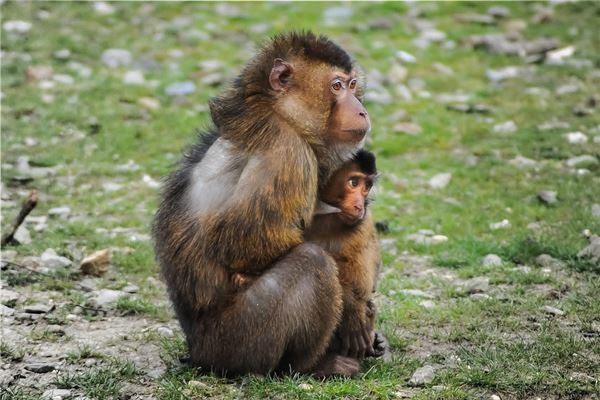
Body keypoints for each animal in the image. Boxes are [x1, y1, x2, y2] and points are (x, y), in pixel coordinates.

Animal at [154, 32, 370, 378]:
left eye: (352, 85)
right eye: (337, 86)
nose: (361, 110)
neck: (279, 113)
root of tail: (197, 350)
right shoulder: (288, 153)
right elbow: (244, 244)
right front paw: (352, 306)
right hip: (237, 339)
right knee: (312, 261)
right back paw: (312, 364)